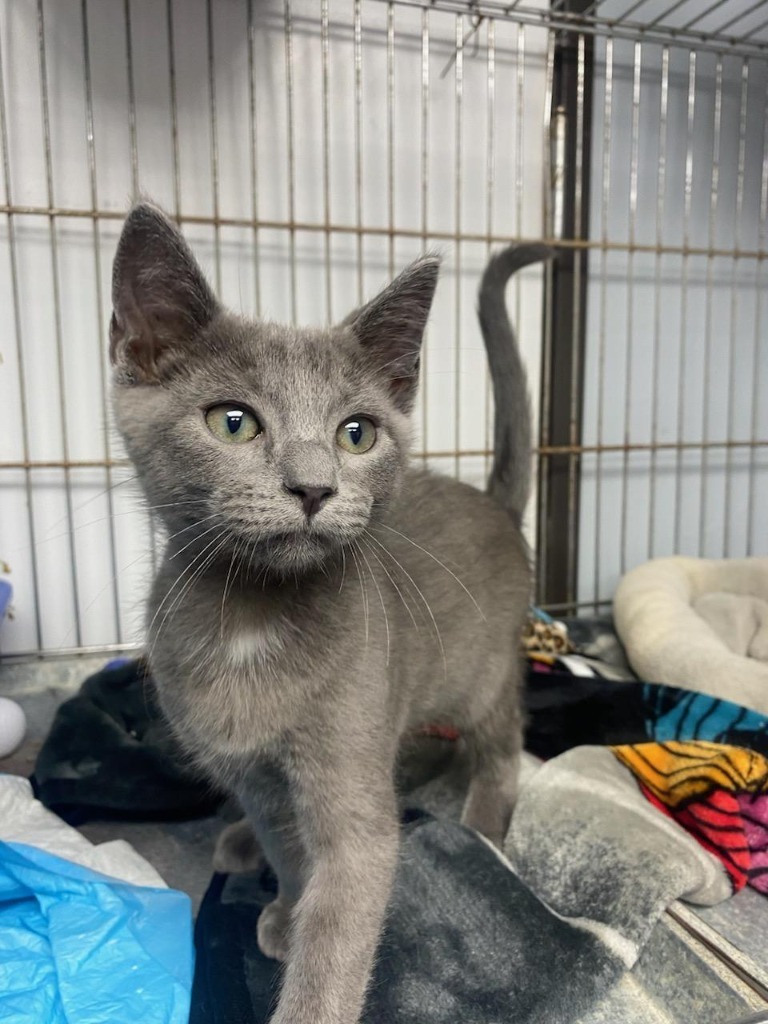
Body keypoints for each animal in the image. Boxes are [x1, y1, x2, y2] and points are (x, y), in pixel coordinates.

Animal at [111, 199, 548, 1024]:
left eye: (357, 433)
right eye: (234, 422)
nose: (314, 487)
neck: (250, 618)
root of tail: (495, 505)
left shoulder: (350, 787)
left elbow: (342, 915)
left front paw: (306, 961)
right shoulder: (255, 775)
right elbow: (291, 848)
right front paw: (285, 904)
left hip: (480, 675)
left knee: (500, 742)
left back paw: (483, 823)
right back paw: (243, 842)